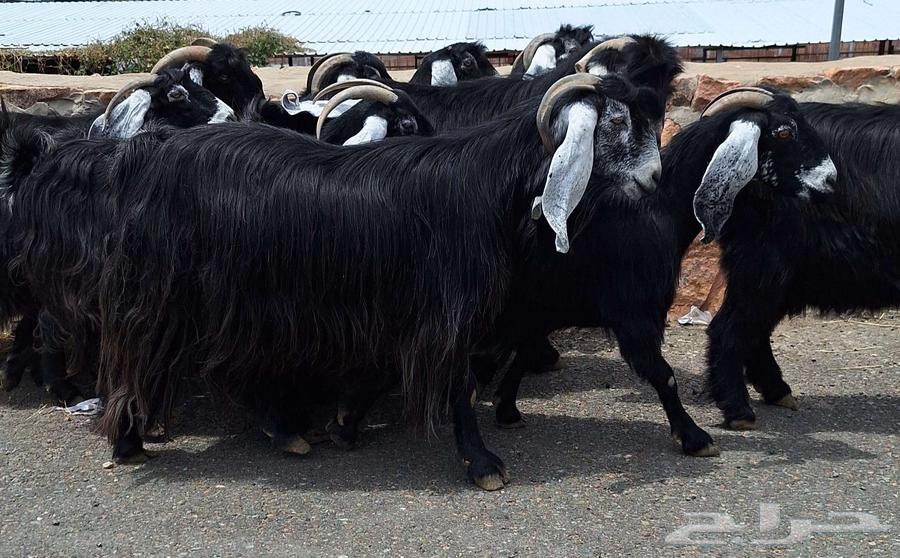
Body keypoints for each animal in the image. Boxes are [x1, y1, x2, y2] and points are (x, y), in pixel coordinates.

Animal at [94, 74, 662, 490]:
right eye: (616, 121)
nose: (655, 178)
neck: (483, 185)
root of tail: (149, 152)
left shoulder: (395, 308)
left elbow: (381, 371)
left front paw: (345, 424)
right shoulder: (442, 310)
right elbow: (457, 383)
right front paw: (482, 463)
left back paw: (283, 430)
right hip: (173, 292)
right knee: (143, 355)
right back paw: (129, 442)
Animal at [483, 88, 837, 456]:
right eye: (783, 132)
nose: (831, 179)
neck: (656, 213)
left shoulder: (546, 305)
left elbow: (522, 352)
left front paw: (507, 409)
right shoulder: (635, 313)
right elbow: (663, 374)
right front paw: (695, 438)